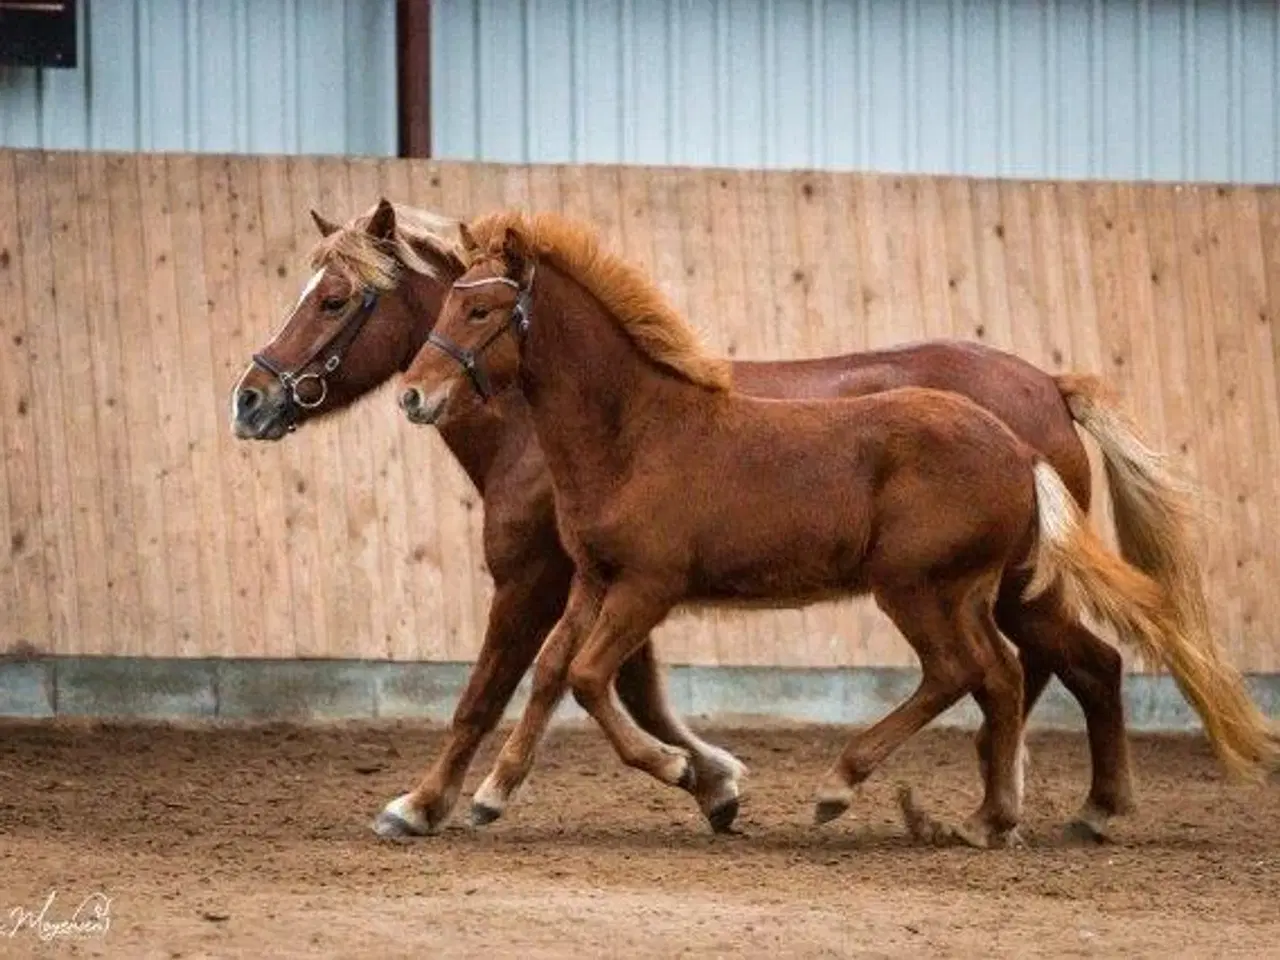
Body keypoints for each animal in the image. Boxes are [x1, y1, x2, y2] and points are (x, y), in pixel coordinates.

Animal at [240, 200, 1208, 839]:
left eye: (334, 299)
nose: (249, 400)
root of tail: (1046, 391)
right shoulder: (605, 580)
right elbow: (596, 682)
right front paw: (711, 784)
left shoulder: (545, 580)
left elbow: (505, 689)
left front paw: (421, 804)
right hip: (986, 590)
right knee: (1031, 672)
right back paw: (1013, 807)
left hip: (958, 587)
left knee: (1052, 667)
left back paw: (1030, 805)